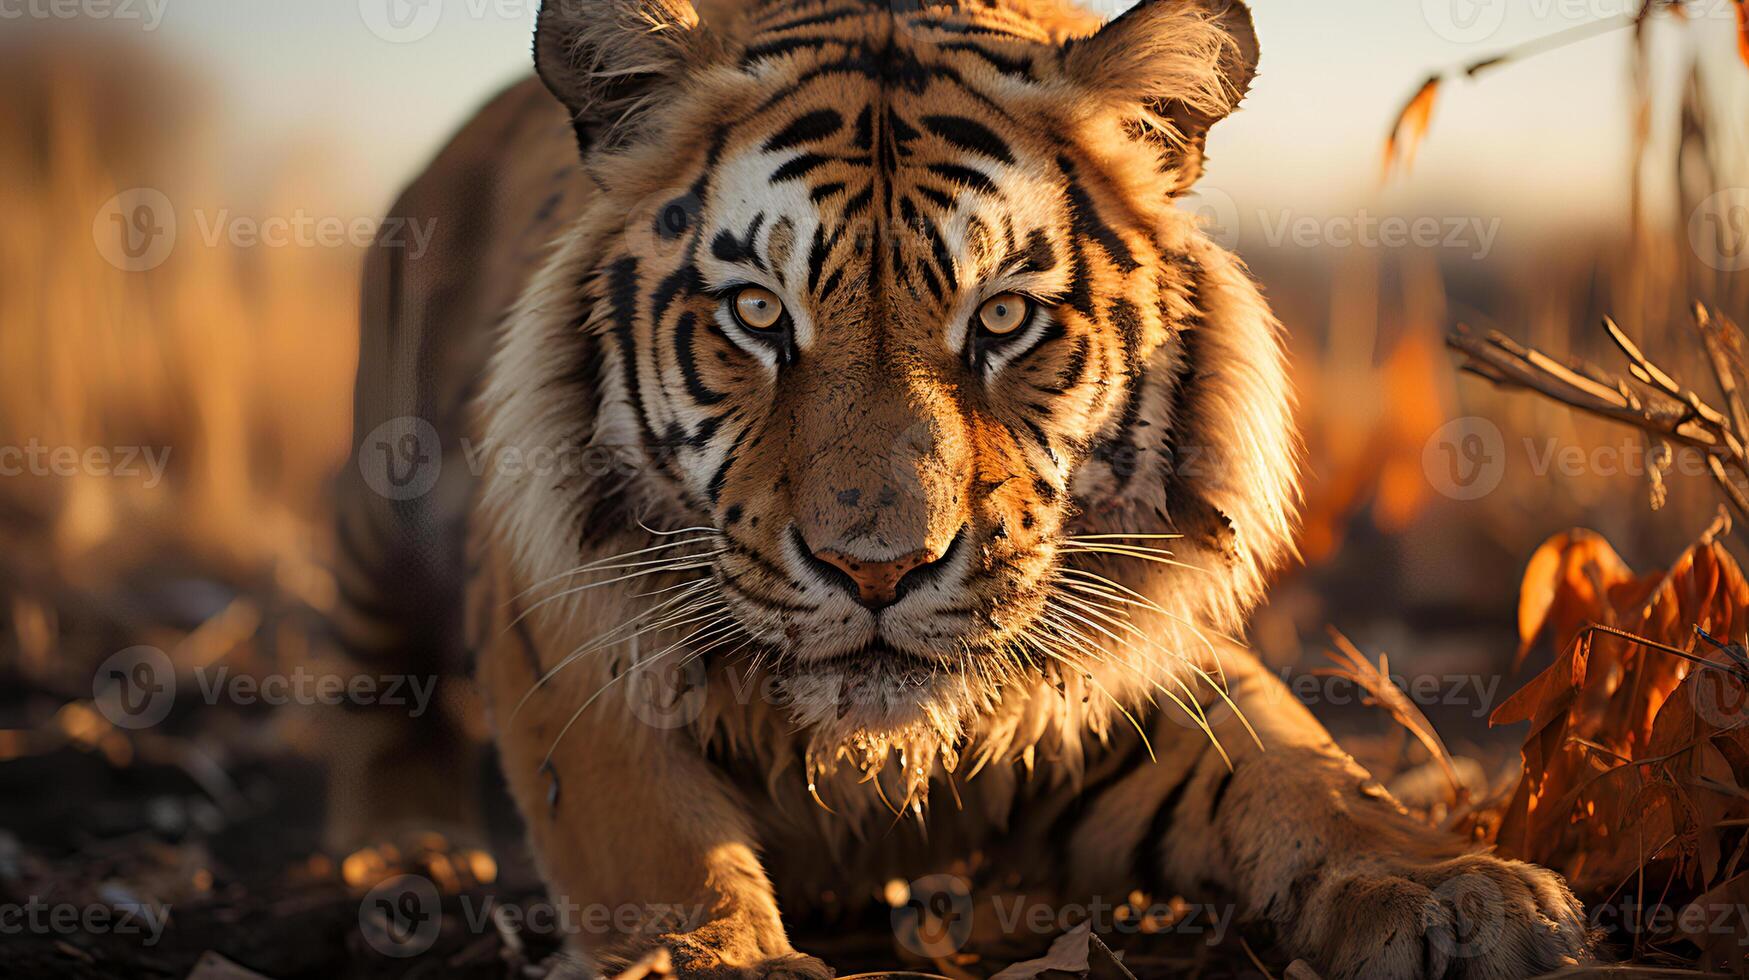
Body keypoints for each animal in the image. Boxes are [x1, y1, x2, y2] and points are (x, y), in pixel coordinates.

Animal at [321, 1, 1595, 980]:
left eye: (1003, 317)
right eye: (758, 314)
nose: (876, 567)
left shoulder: (1129, 669)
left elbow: (1303, 773)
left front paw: (1456, 890)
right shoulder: (579, 666)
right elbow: (663, 851)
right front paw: (720, 959)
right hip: (386, 505)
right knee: (376, 675)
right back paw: (406, 849)